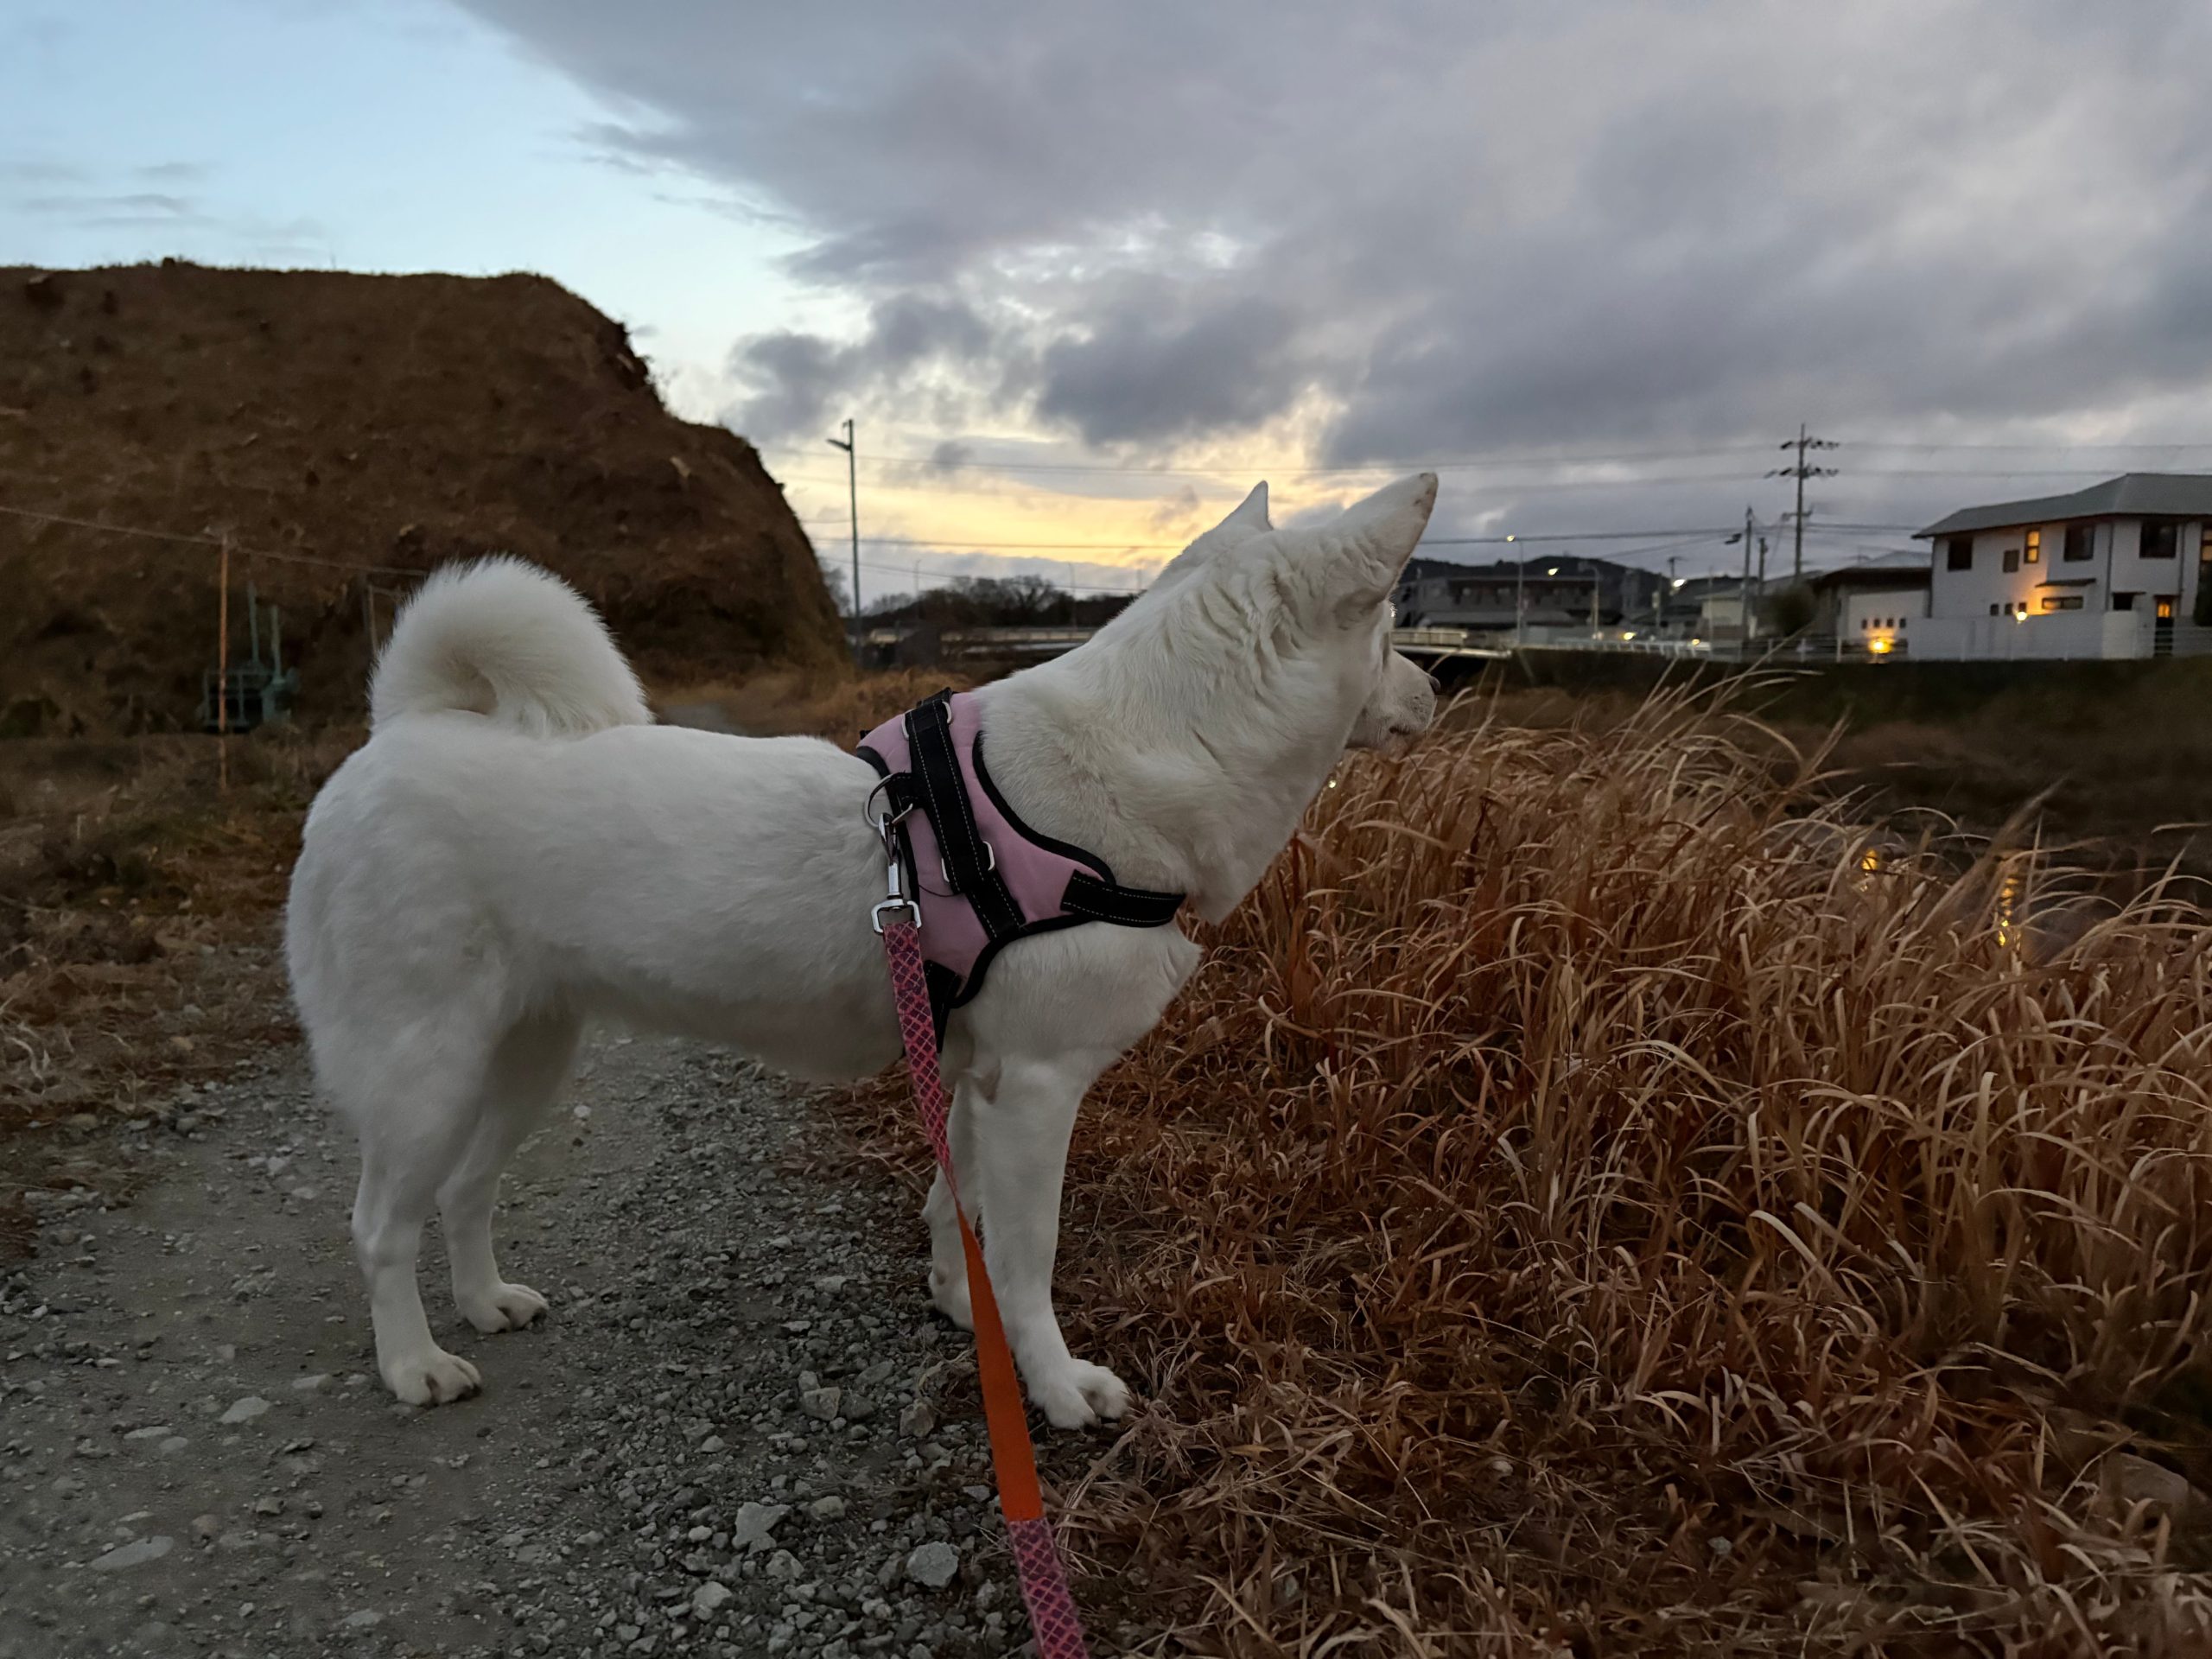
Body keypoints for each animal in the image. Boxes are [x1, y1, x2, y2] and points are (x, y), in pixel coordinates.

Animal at [285, 472, 1438, 1427]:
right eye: (1390, 632)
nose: (1441, 688)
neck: (1145, 756)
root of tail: (401, 731)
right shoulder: (1036, 1089)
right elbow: (1027, 1256)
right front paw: (1055, 1385)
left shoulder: (973, 1071)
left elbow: (955, 1209)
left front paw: (964, 1310)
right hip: (424, 1073)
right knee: (378, 1226)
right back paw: (414, 1365)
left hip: (526, 1055)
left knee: (464, 1190)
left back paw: (485, 1303)